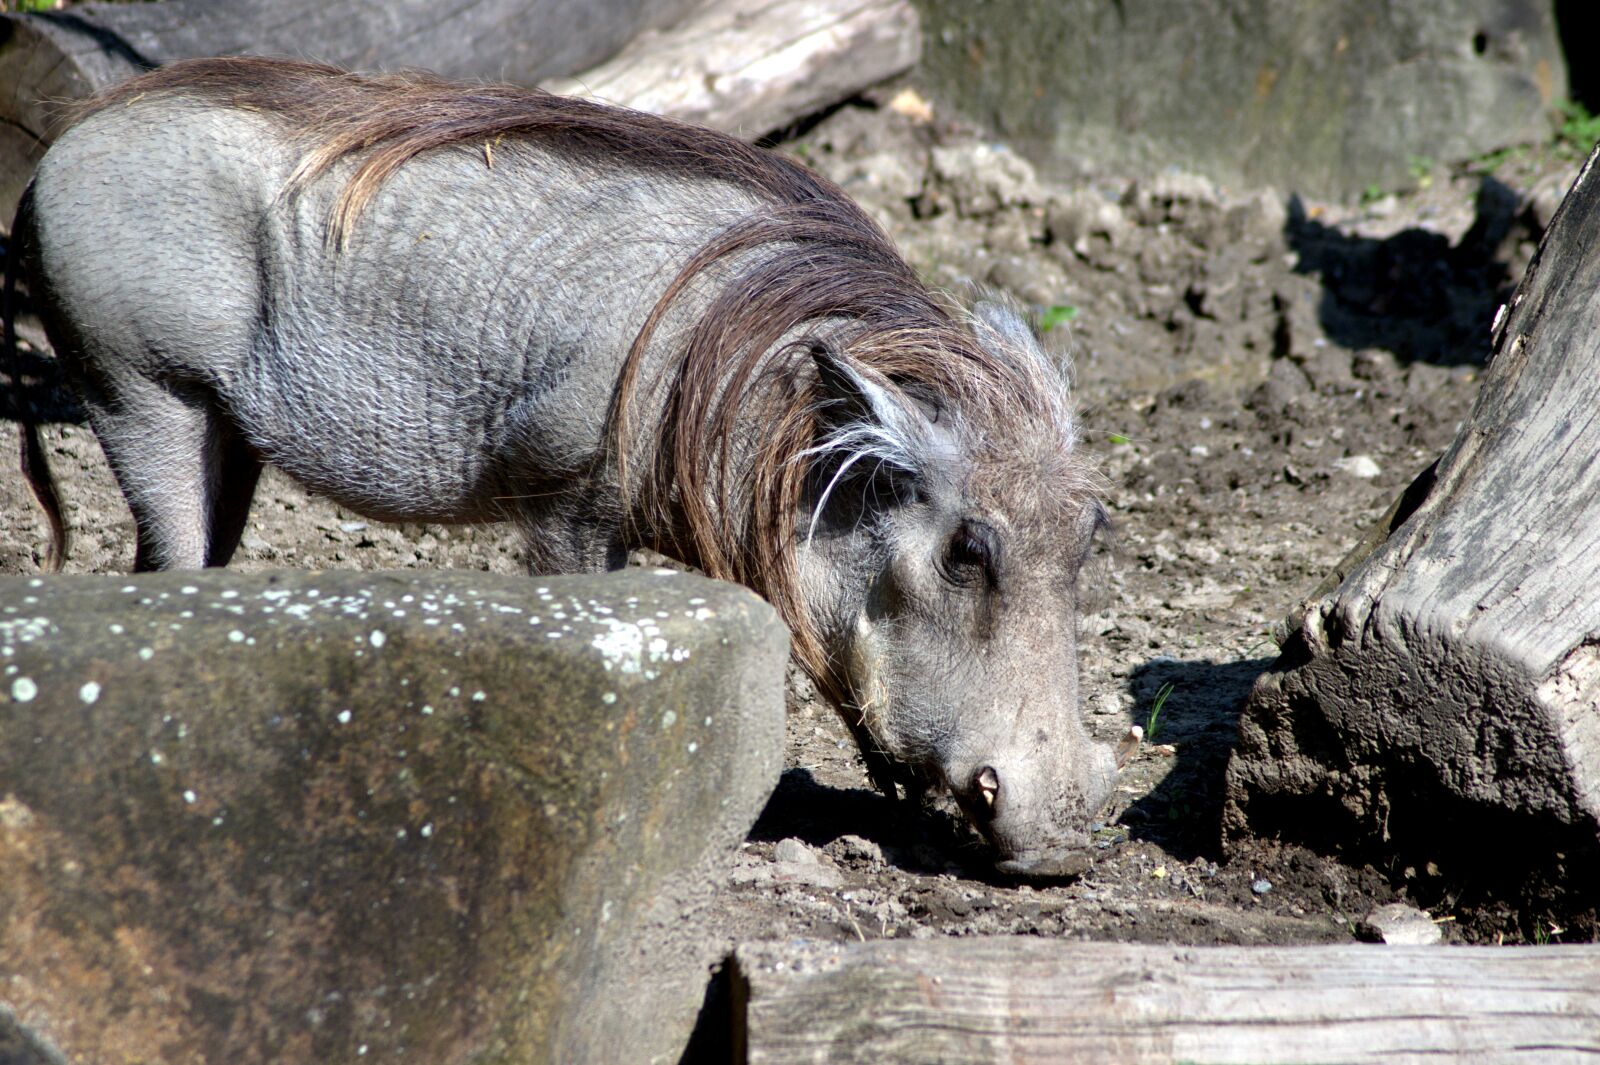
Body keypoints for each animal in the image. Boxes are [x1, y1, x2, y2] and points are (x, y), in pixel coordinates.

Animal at [8, 56, 1125, 876]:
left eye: (1091, 534)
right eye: (967, 550)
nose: (1064, 847)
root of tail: (63, 143)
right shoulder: (564, 502)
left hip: (225, 437)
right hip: (137, 390)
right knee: (171, 561)